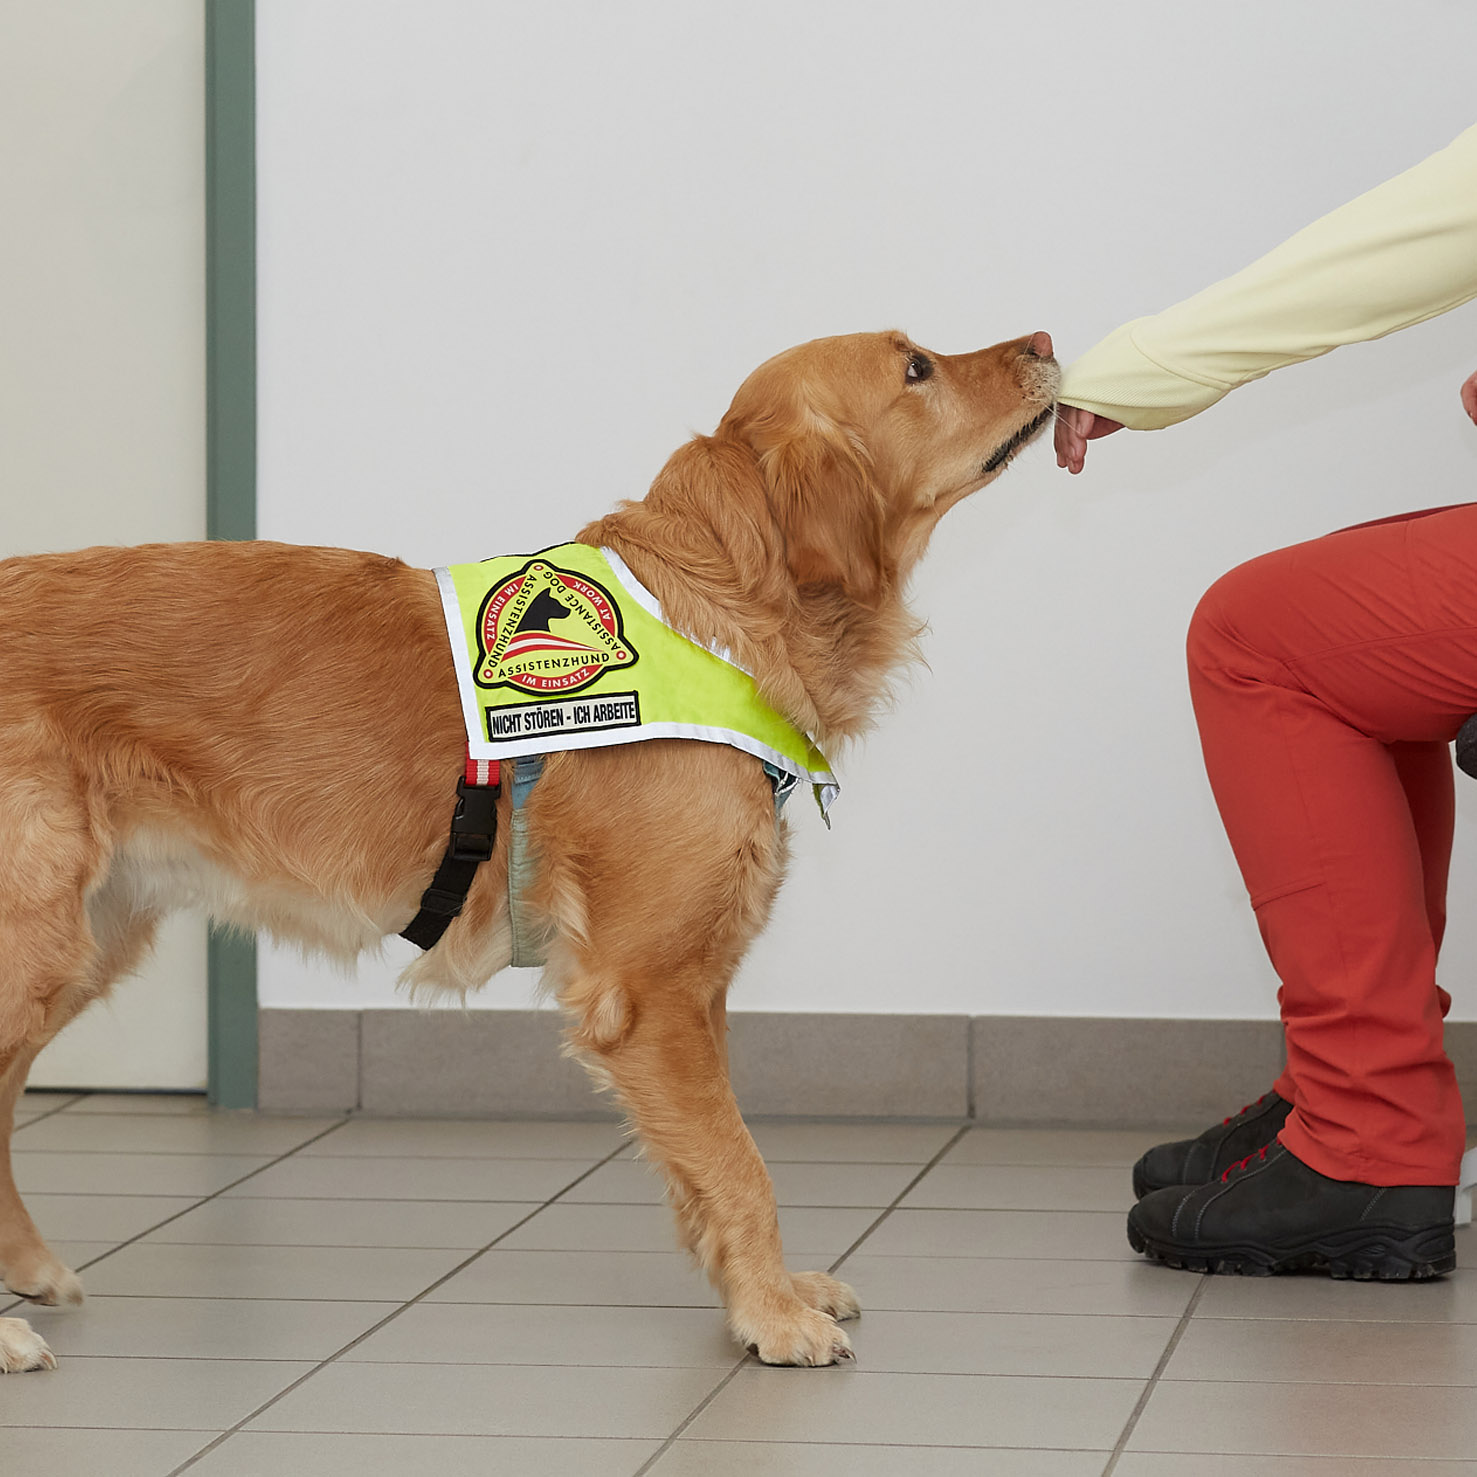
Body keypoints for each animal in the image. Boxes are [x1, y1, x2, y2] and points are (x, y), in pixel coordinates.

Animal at [0, 329, 1063, 1364]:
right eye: (916, 366)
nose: (1047, 340)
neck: (715, 611)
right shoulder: (648, 989)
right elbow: (739, 1162)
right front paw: (772, 1315)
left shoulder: (695, 988)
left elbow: (707, 1165)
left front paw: (758, 1291)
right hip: (37, 941)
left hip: (82, 941)